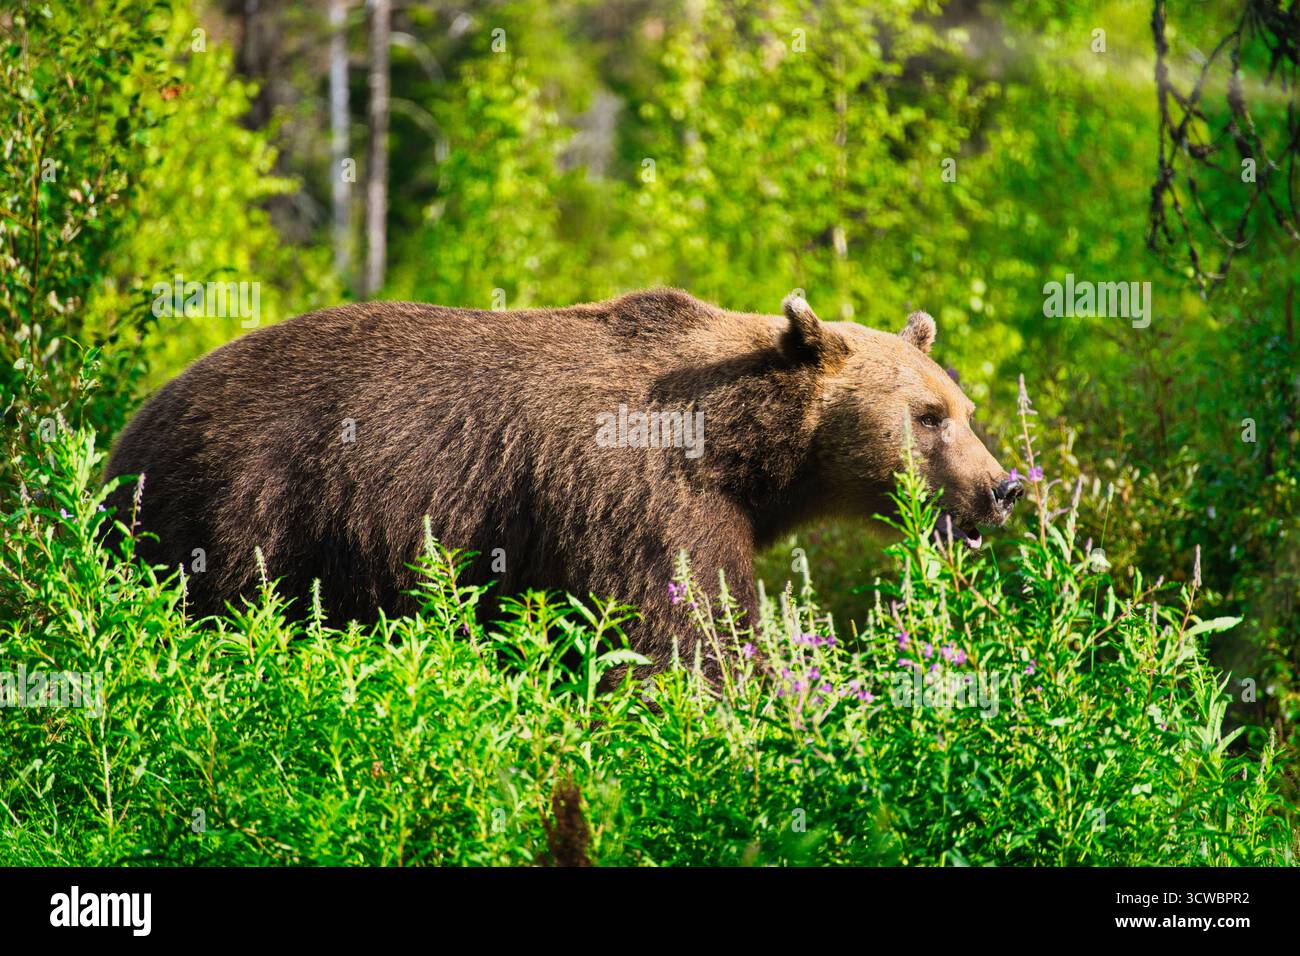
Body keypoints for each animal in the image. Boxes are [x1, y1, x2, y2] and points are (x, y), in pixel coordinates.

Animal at [103, 288, 1021, 673]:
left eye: (965, 408)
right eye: (928, 416)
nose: (1003, 488)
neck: (736, 452)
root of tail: (130, 430)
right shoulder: (639, 497)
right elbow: (684, 627)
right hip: (243, 512)